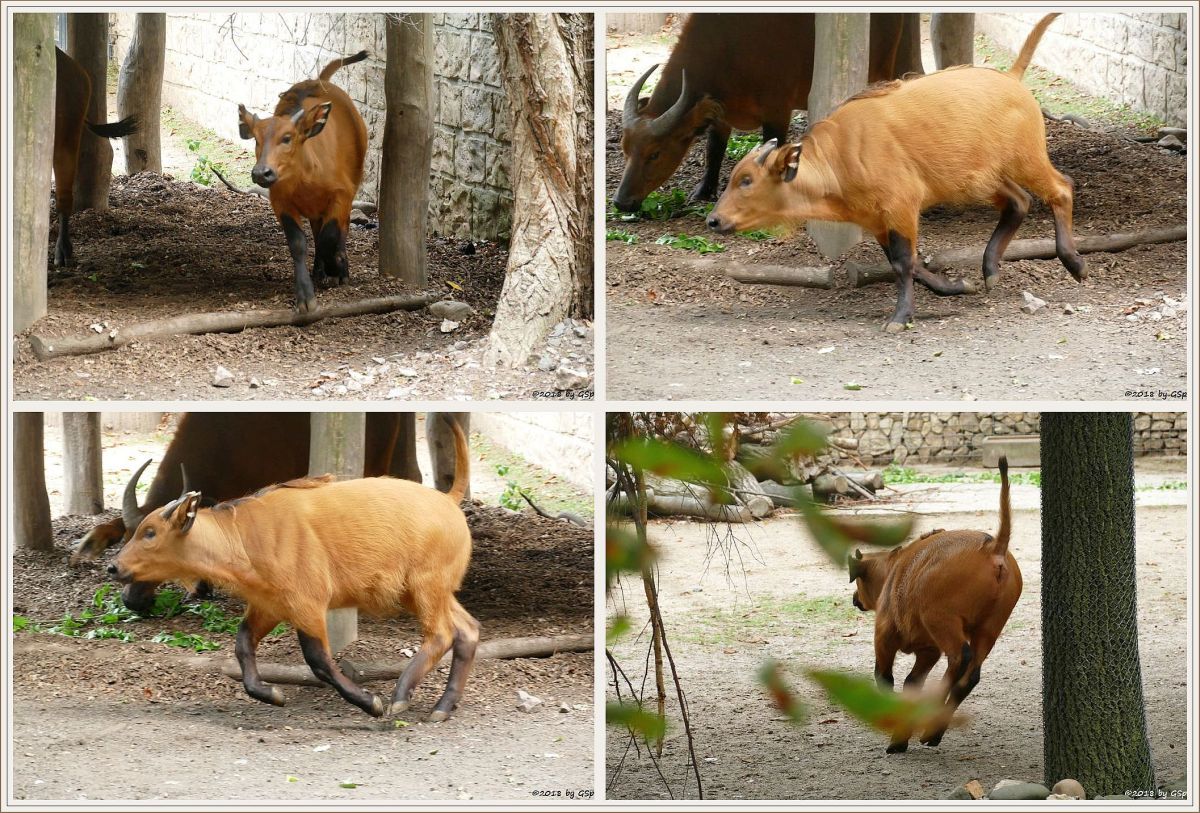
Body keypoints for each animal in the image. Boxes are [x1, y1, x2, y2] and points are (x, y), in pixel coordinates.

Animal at [109, 417, 477, 724]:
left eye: (150, 532)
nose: (114, 567)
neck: (244, 535)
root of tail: (448, 500)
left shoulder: (308, 605)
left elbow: (318, 660)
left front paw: (370, 702)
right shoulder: (269, 606)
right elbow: (242, 644)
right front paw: (272, 694)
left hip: (425, 588)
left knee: (441, 634)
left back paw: (400, 697)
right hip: (426, 593)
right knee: (468, 630)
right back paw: (442, 708)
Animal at [705, 13, 1084, 330]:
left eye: (746, 180)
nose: (713, 220)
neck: (840, 158)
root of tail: (1011, 78)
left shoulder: (901, 208)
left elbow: (904, 263)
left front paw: (900, 318)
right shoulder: (877, 222)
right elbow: (909, 263)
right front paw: (958, 286)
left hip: (1026, 160)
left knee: (1061, 188)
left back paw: (1075, 264)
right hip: (979, 181)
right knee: (1019, 202)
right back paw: (989, 272)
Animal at [844, 455, 1022, 753]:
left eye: (858, 582)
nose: (855, 599)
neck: (896, 567)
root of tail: (993, 547)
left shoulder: (884, 637)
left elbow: (885, 679)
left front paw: (897, 737)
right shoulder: (928, 651)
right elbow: (911, 682)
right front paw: (902, 735)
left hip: (942, 620)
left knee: (960, 658)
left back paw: (930, 721)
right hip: (989, 628)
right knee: (970, 675)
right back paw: (933, 732)